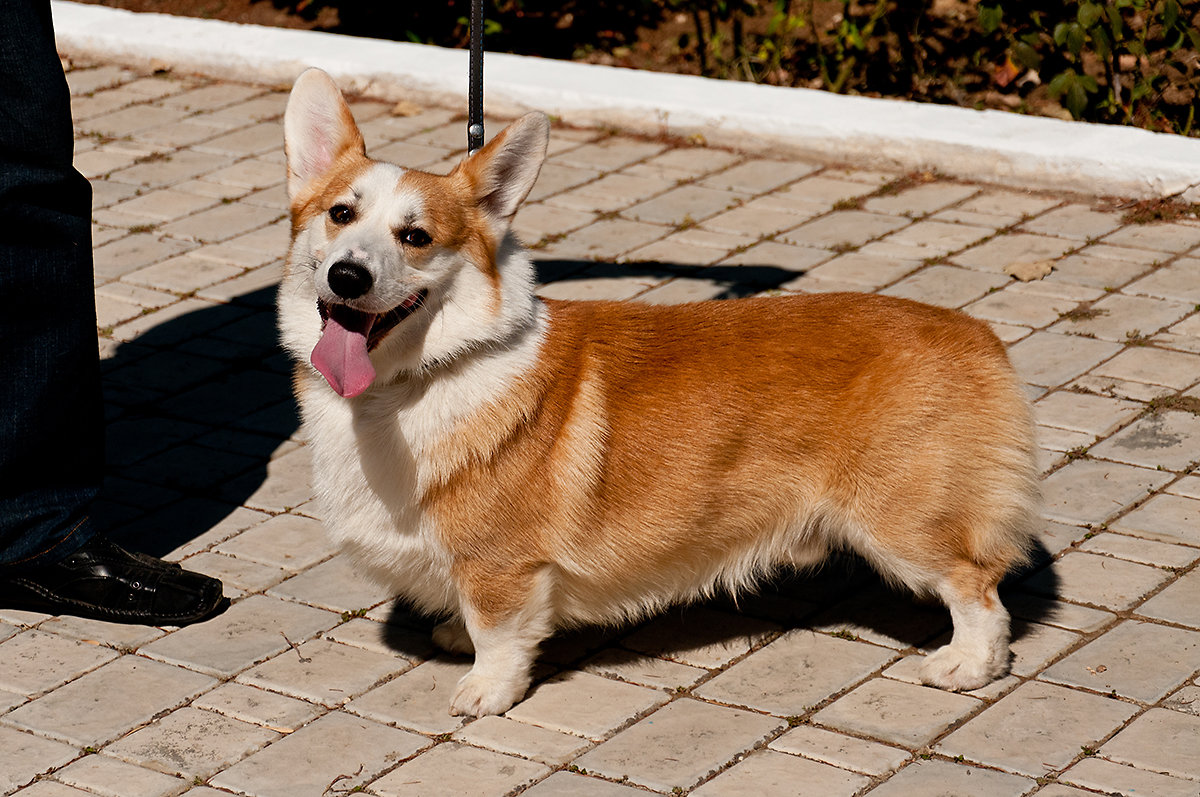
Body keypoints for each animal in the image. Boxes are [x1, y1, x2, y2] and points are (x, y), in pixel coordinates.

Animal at [280, 68, 1041, 715]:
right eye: (341, 215)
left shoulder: (503, 565)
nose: (347, 276)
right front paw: (454, 638)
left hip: (900, 519)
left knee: (977, 586)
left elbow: (498, 632)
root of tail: (976, 333)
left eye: (415, 237)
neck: (424, 374)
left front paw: (485, 688)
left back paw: (968, 664)